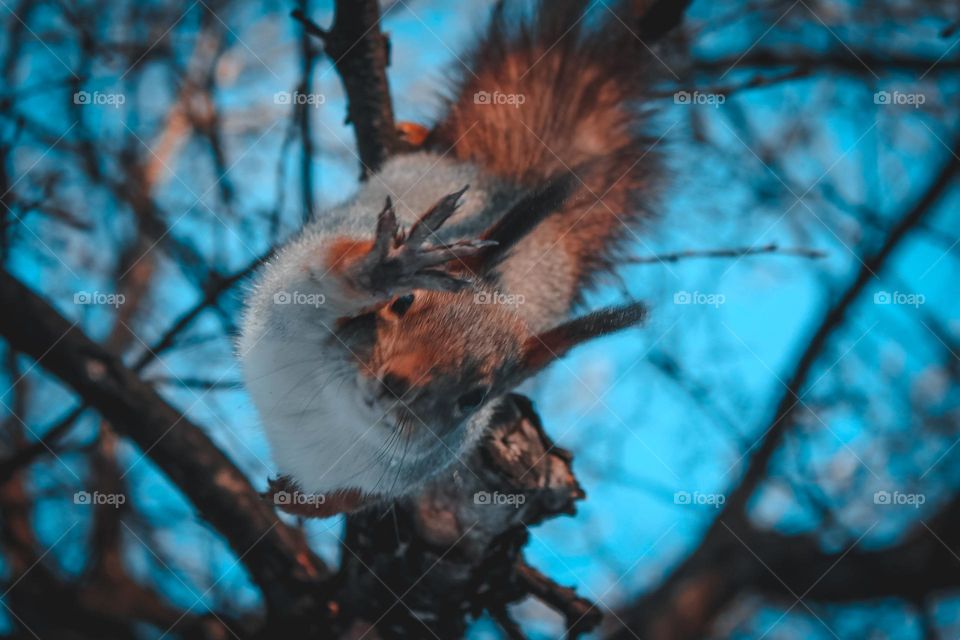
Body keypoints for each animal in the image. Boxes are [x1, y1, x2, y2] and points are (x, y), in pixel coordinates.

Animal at [242, 0, 668, 516]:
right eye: (403, 302)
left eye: (475, 398)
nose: (399, 383)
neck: (334, 414)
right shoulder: (294, 297)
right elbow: (325, 277)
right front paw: (383, 269)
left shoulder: (381, 482)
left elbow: (343, 499)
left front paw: (300, 502)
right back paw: (414, 135)